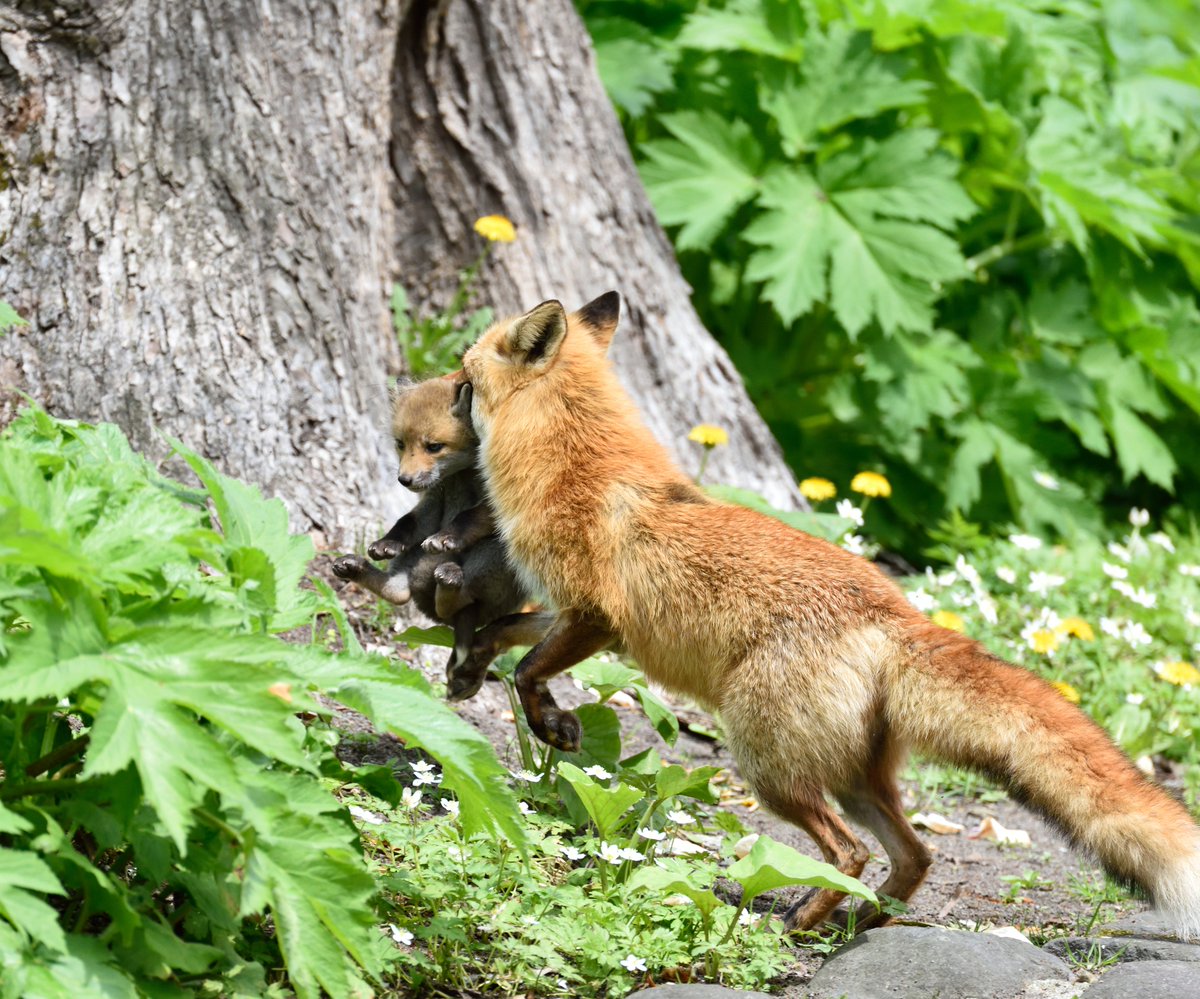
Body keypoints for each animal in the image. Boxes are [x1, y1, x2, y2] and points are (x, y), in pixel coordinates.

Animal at [458, 290, 1200, 936]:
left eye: (464, 376)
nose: (440, 384)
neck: (573, 461)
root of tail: (898, 612)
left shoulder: (596, 616)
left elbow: (527, 670)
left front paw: (550, 725)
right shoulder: (573, 616)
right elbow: (504, 633)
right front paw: (465, 669)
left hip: (769, 766)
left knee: (851, 853)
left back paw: (800, 921)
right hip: (851, 779)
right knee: (915, 853)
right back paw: (861, 924)